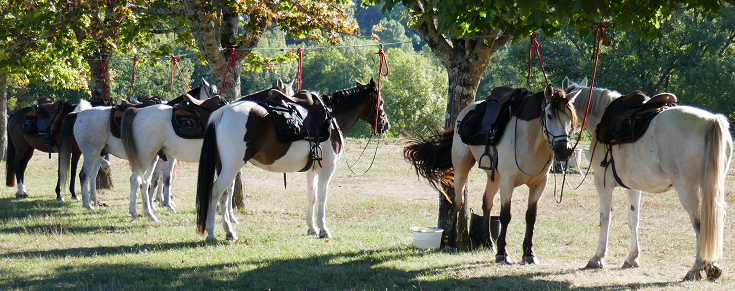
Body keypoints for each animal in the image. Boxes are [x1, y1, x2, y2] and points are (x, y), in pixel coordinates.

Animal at [58, 82, 218, 217]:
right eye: (213, 92)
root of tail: (79, 114)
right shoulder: (167, 157)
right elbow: (163, 179)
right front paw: (163, 203)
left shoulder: (162, 157)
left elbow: (158, 179)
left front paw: (157, 202)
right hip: (91, 151)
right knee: (84, 175)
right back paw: (88, 204)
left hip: (97, 151)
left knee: (92, 174)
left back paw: (95, 199)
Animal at [196, 79, 392, 242]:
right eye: (380, 102)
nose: (386, 124)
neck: (331, 117)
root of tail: (221, 113)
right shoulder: (327, 168)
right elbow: (322, 197)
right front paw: (324, 229)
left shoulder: (313, 169)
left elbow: (312, 196)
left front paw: (312, 228)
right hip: (231, 168)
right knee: (215, 192)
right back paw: (212, 233)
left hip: (225, 167)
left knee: (224, 196)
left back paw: (229, 232)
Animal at [402, 84, 580, 264]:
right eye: (549, 116)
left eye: (570, 119)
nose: (564, 150)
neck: (530, 141)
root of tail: (466, 112)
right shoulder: (508, 182)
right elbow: (505, 215)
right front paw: (503, 252)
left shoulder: (539, 184)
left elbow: (531, 217)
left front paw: (529, 253)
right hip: (462, 168)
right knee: (458, 202)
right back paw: (452, 242)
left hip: (494, 177)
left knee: (486, 203)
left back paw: (488, 241)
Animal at [564, 76, 732, 282]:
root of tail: (711, 121)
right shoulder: (632, 186)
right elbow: (633, 219)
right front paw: (632, 258)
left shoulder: (603, 185)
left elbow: (605, 219)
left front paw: (597, 258)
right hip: (711, 187)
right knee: (714, 220)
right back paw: (713, 266)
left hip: (688, 191)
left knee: (700, 224)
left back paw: (696, 268)